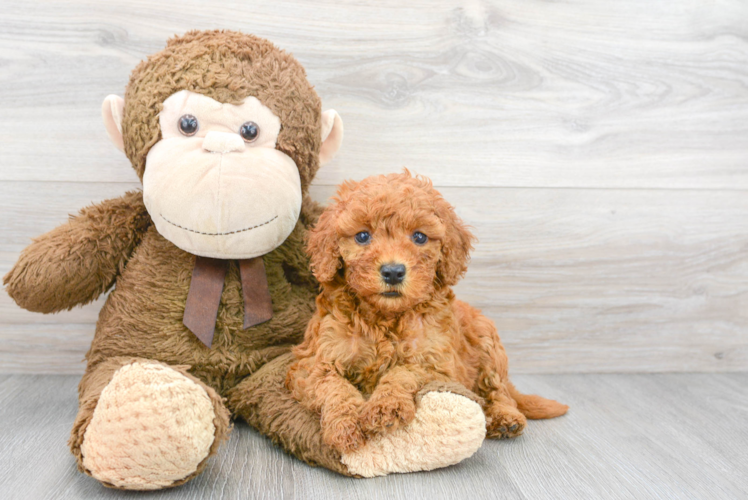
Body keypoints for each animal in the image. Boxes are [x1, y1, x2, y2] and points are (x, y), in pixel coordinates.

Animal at [286, 171, 568, 454]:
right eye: (362, 236)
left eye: (419, 237)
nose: (393, 272)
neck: (386, 317)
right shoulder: (313, 362)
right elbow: (334, 387)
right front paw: (345, 425)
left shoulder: (437, 364)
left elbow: (403, 372)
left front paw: (385, 407)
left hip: (488, 342)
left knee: (499, 391)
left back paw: (505, 417)